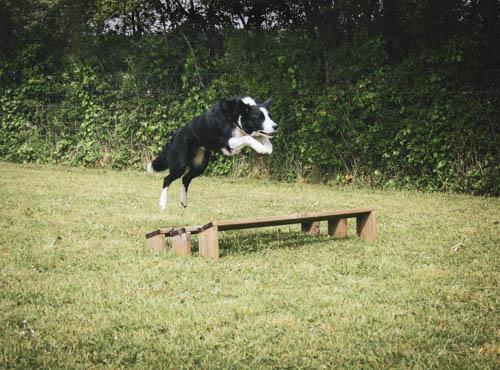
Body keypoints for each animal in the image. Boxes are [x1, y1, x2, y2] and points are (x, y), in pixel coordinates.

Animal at [146, 97, 280, 210]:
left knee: (186, 178)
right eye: (260, 117)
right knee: (167, 179)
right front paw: (261, 148)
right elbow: (248, 138)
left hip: (200, 165)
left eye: (269, 116)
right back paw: (162, 205)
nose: (276, 126)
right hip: (180, 164)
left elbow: (265, 140)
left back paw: (183, 203)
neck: (237, 116)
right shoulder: (229, 142)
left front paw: (267, 147)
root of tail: (176, 134)